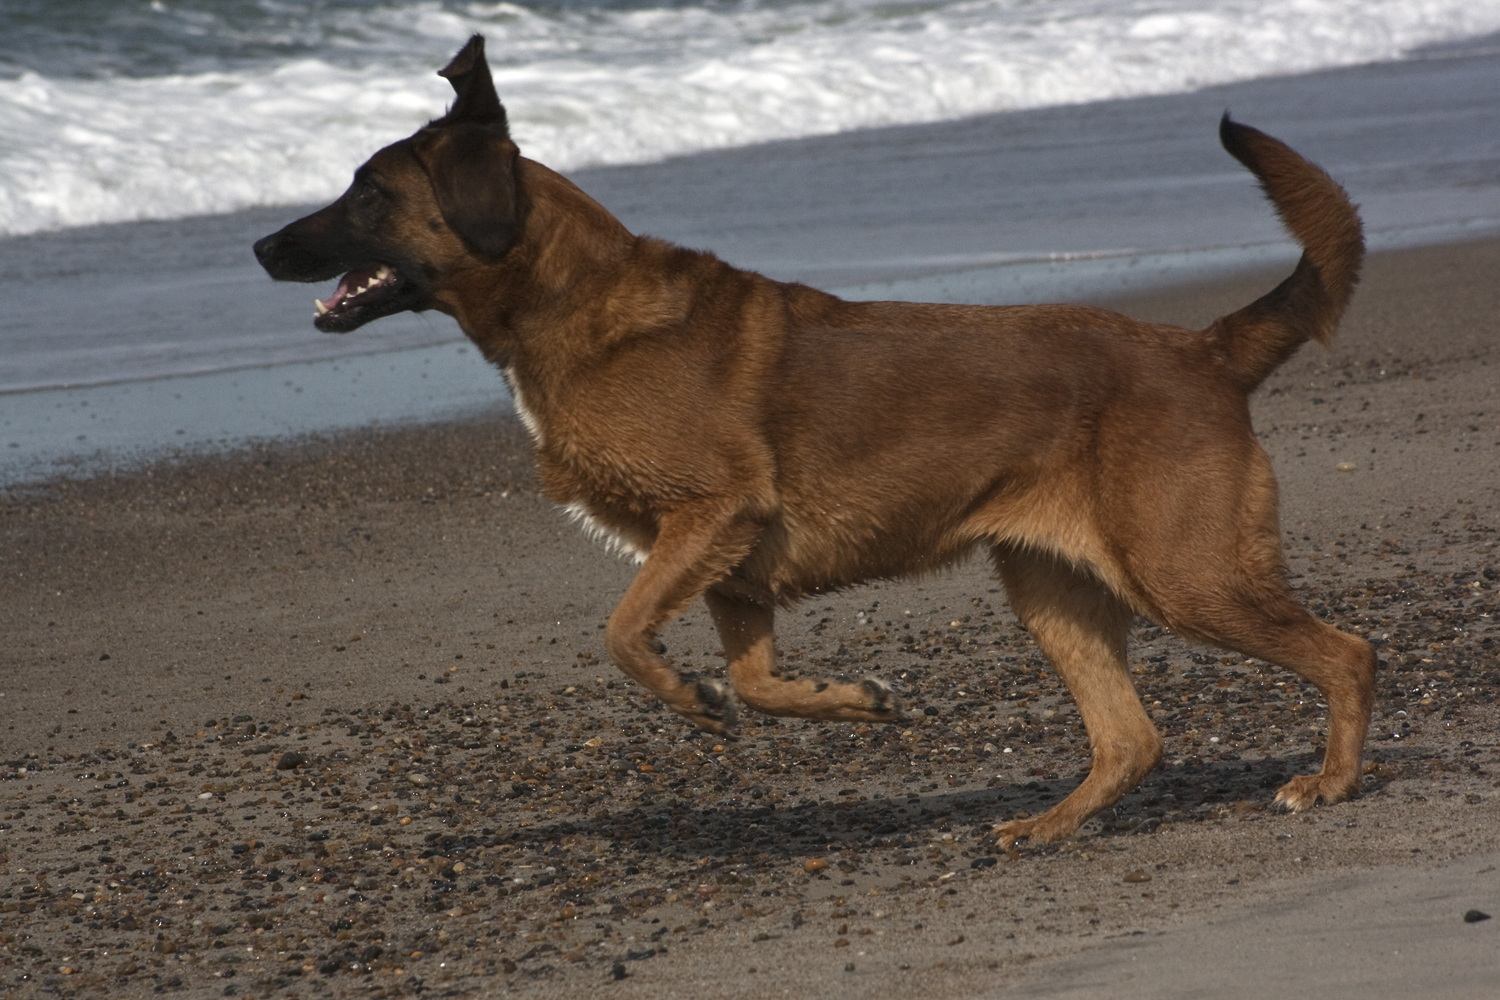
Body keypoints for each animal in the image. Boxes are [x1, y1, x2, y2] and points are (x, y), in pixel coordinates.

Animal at [255, 37, 1374, 845]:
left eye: (368, 193)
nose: (260, 245)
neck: (569, 299)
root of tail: (1203, 349)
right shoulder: (730, 568)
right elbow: (753, 677)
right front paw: (848, 703)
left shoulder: (710, 518)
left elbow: (622, 633)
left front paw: (693, 700)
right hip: (1053, 590)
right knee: (1131, 739)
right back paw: (1048, 826)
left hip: (1185, 575)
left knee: (1347, 652)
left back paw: (1329, 781)